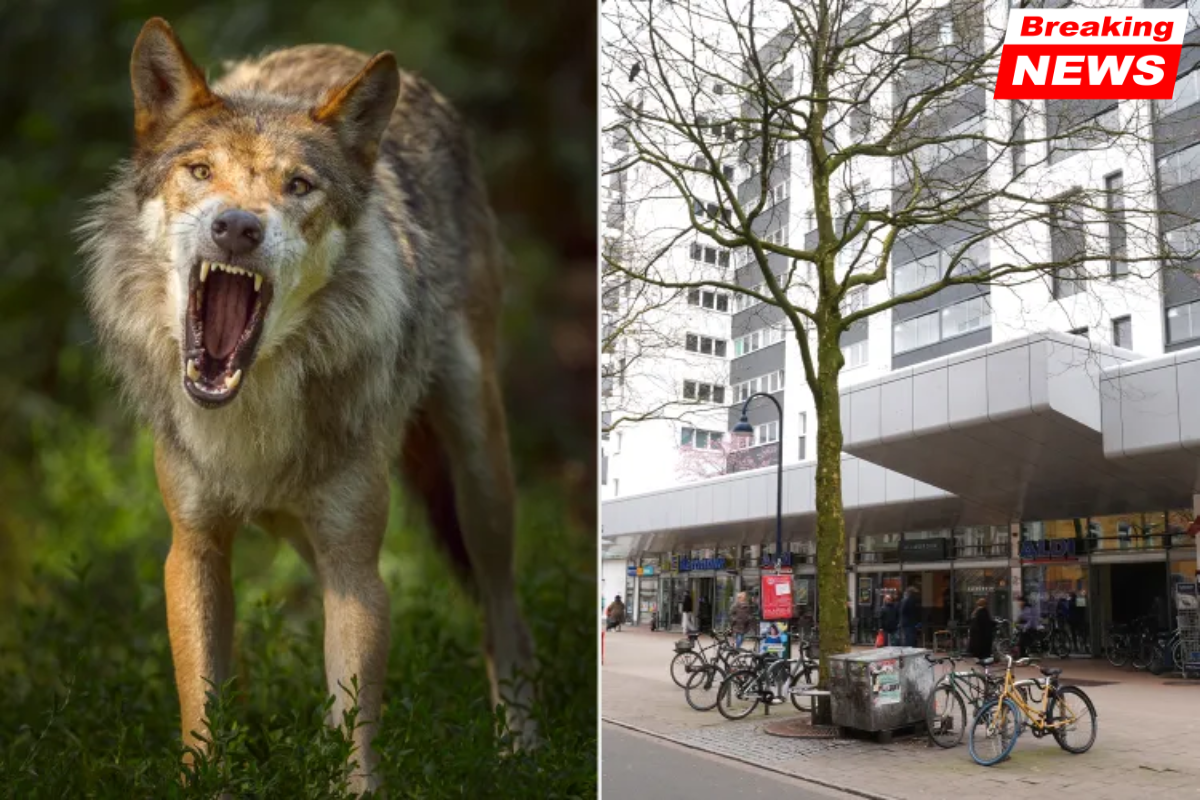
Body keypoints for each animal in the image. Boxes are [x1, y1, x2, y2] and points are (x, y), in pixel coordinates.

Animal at [80, 17, 538, 792]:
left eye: (298, 185)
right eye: (199, 172)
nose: (238, 227)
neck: (251, 411)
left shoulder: (358, 570)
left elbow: (352, 726)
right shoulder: (193, 550)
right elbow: (203, 710)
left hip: (480, 476)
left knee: (504, 609)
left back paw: (520, 749)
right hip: (304, 528)